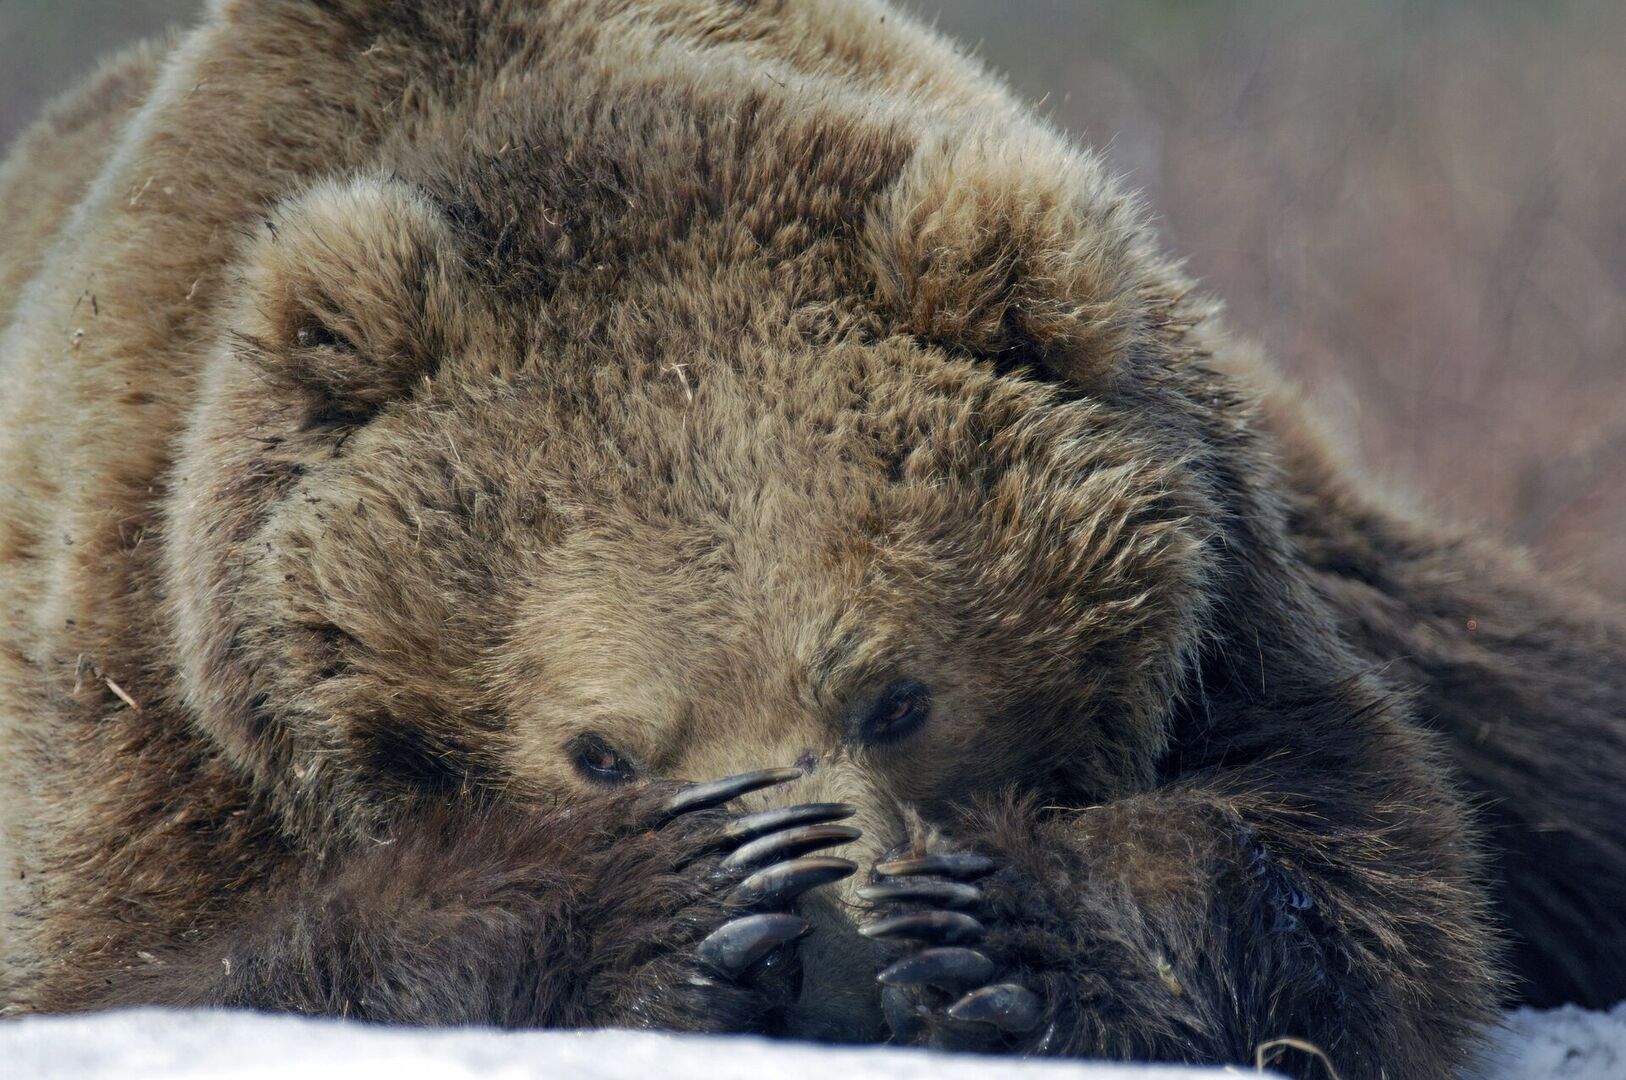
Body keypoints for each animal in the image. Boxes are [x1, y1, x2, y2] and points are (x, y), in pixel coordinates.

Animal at [0, 2, 1619, 1080]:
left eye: (894, 695)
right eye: (600, 750)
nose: (827, 971)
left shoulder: (1225, 603)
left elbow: (1362, 864)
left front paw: (996, 926)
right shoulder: (161, 667)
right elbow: (139, 958)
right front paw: (664, 905)